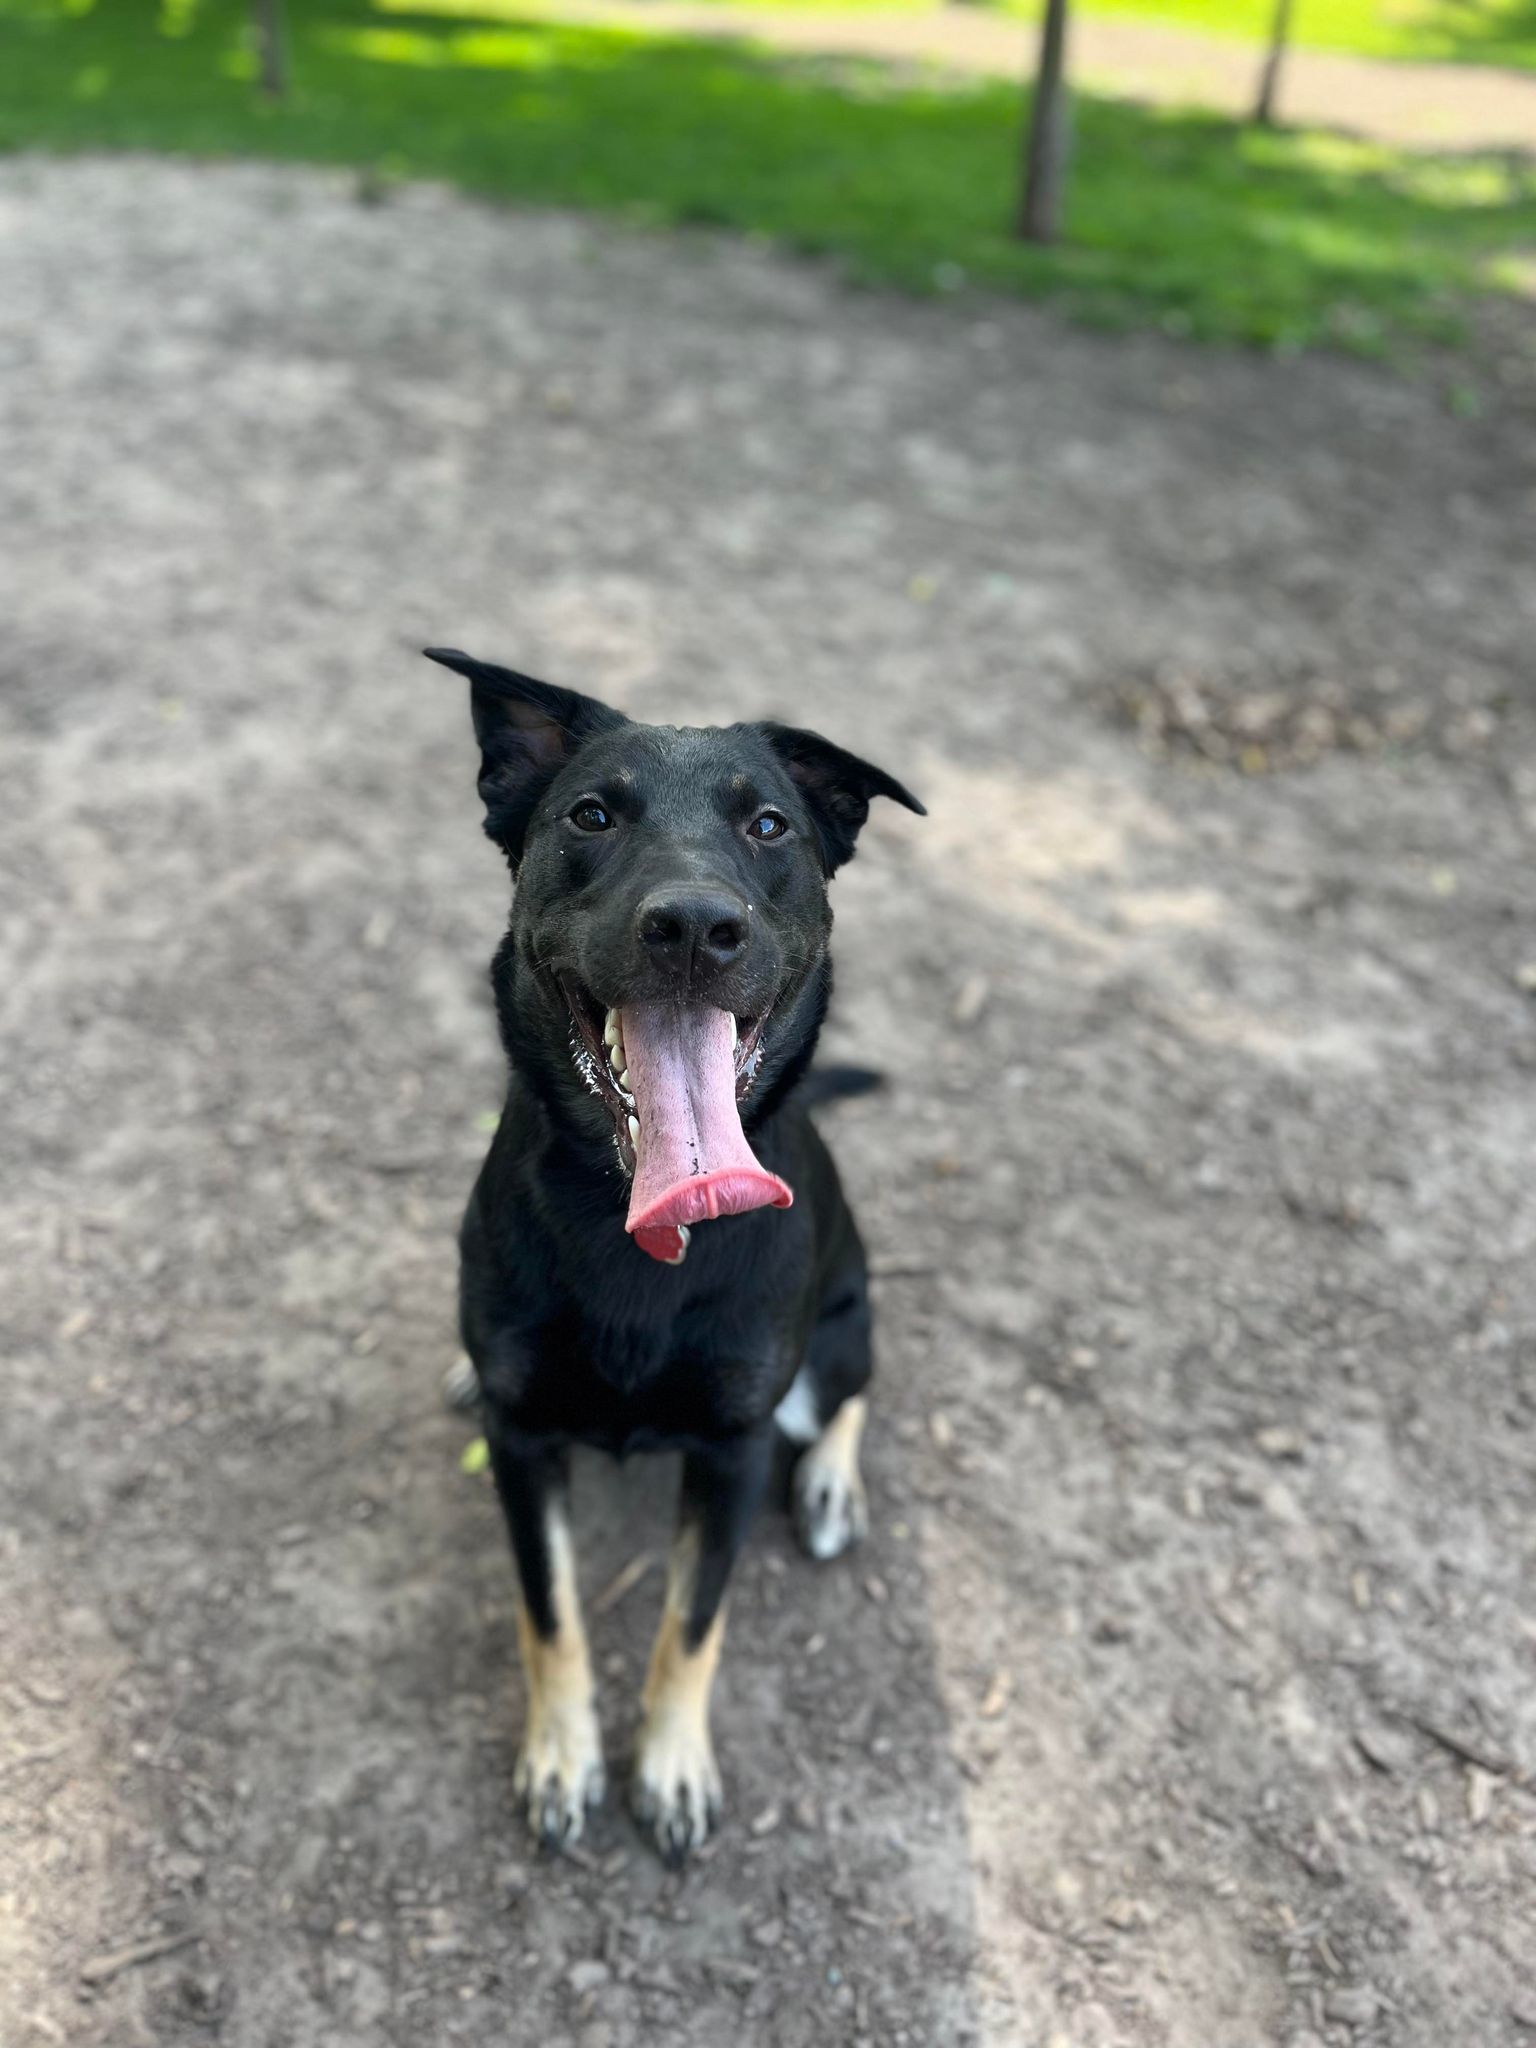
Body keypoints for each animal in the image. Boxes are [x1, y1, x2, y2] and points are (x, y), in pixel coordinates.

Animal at [428, 647, 921, 1867]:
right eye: (591, 815)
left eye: (770, 825)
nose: (696, 925)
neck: (641, 1221)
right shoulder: (523, 1444)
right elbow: (550, 1611)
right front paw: (565, 1757)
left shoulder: (733, 1448)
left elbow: (691, 1623)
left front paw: (671, 1765)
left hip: (842, 1327)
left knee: (848, 1391)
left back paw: (833, 1481)